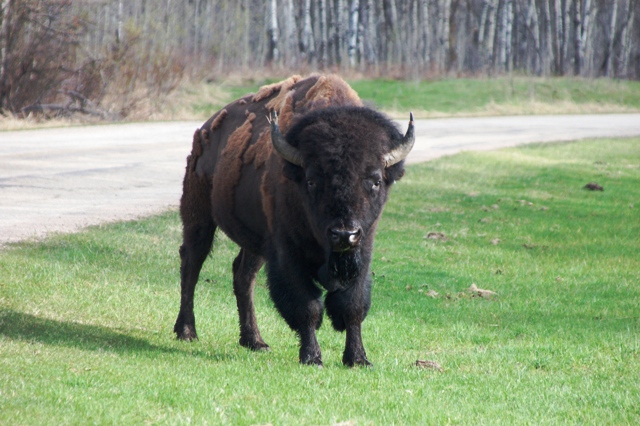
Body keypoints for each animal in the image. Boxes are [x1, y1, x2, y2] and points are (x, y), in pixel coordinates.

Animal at [174, 74, 416, 366]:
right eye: (312, 180)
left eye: (376, 180)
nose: (344, 234)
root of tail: (204, 130)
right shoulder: (287, 254)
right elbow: (307, 306)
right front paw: (312, 357)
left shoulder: (362, 252)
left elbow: (353, 306)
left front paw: (358, 359)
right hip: (199, 219)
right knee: (191, 265)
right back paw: (186, 331)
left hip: (256, 243)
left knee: (243, 276)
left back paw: (255, 341)